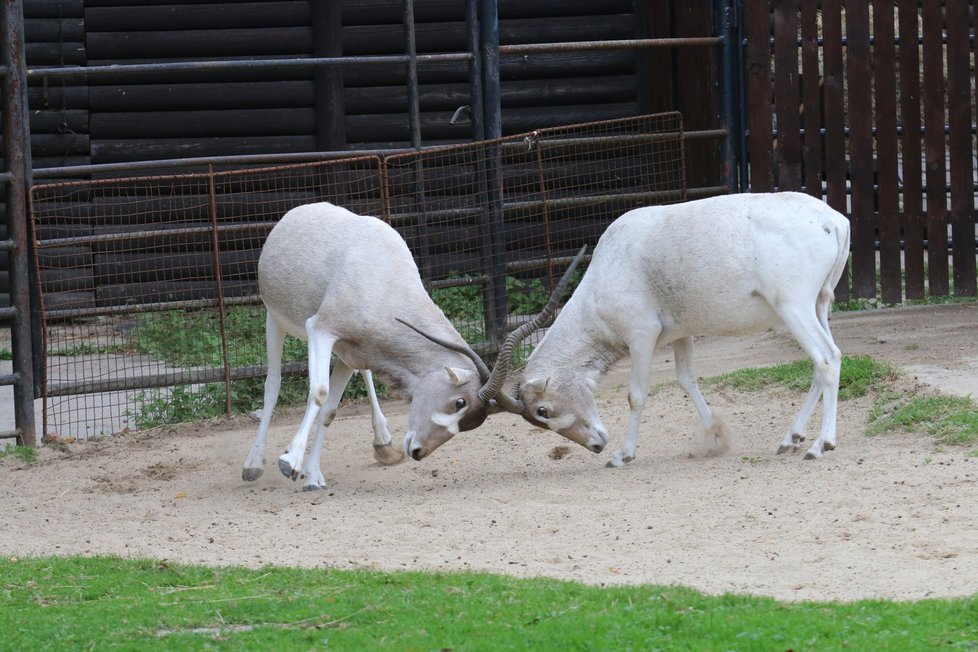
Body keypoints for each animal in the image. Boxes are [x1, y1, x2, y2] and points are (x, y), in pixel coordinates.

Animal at [242, 201, 580, 486]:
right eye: (459, 403)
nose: (417, 451)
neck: (386, 281)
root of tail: (296, 213)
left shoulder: (349, 350)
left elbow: (331, 410)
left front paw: (313, 476)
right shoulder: (321, 330)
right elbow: (319, 392)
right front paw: (290, 462)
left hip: (348, 353)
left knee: (360, 377)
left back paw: (383, 444)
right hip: (275, 319)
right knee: (273, 384)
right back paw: (253, 464)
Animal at [484, 191, 852, 466]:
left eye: (542, 410)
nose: (597, 445)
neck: (608, 269)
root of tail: (834, 221)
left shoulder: (641, 335)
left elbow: (636, 394)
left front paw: (623, 455)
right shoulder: (682, 334)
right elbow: (686, 379)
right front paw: (715, 437)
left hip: (793, 306)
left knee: (826, 358)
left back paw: (820, 445)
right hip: (819, 305)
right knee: (824, 361)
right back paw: (791, 438)